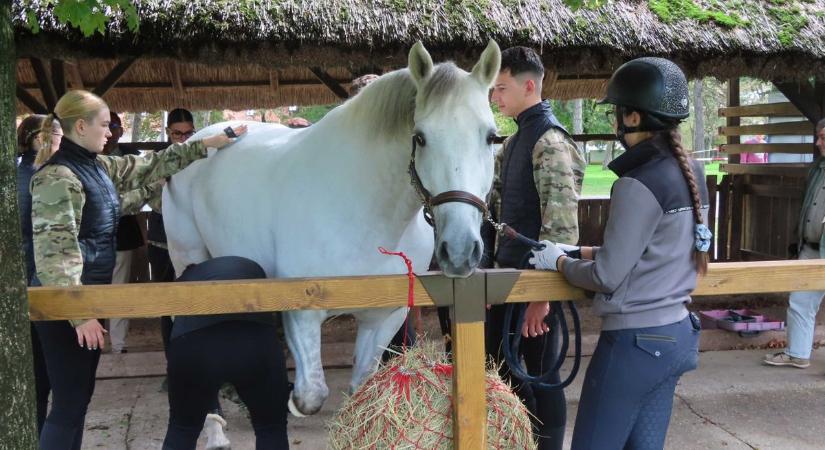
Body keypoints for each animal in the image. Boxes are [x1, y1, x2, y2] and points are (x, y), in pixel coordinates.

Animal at [159, 41, 496, 414]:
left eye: (491, 137)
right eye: (420, 138)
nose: (461, 250)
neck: (367, 215)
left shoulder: (385, 316)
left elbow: (361, 387)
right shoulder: (303, 313)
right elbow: (311, 396)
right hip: (189, 263)